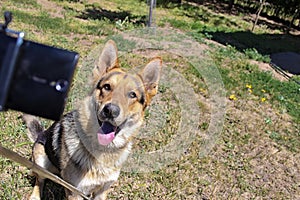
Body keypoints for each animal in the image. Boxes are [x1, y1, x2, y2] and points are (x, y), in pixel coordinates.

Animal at [23, 39, 162, 199]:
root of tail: (40, 134)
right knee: (40, 179)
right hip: (40, 157)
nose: (110, 110)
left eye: (132, 95)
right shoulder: (74, 191)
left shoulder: (102, 190)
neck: (103, 150)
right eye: (107, 87)